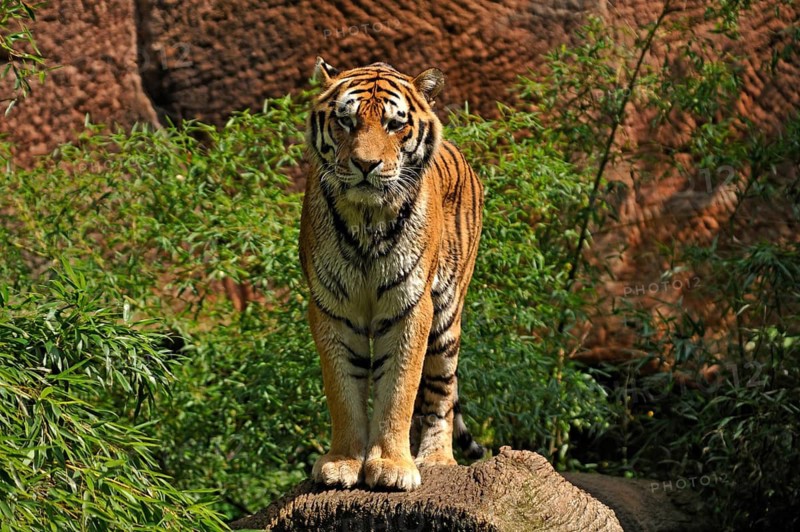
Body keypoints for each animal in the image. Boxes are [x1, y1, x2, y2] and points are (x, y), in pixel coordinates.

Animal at [298, 57, 485, 491]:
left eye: (394, 124)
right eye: (346, 121)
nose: (366, 165)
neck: (368, 218)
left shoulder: (410, 307)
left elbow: (399, 388)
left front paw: (393, 465)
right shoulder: (332, 308)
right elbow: (343, 391)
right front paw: (343, 463)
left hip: (446, 316)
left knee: (440, 393)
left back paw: (436, 459)